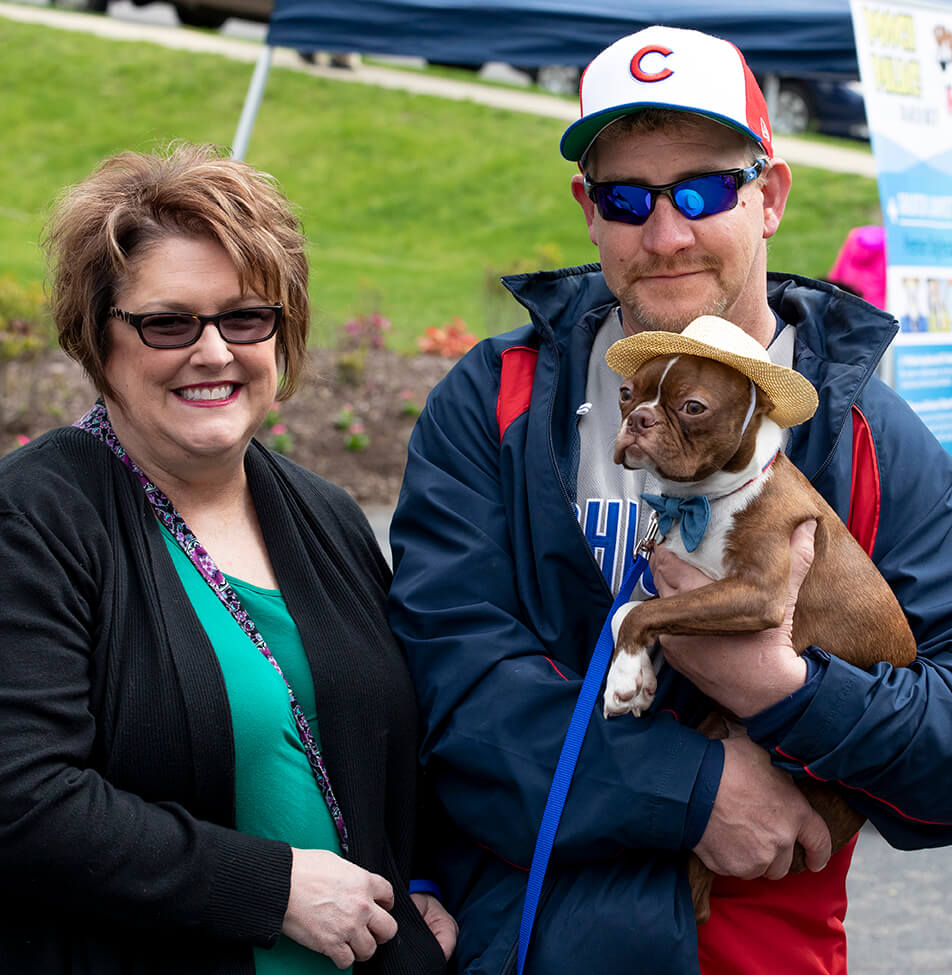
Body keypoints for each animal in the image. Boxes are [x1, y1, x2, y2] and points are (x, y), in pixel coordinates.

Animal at [600, 318, 920, 924]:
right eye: (626, 394)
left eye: (693, 407)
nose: (637, 419)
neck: (705, 500)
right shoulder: (683, 585)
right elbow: (631, 610)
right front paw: (637, 677)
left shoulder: (756, 594)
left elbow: (644, 612)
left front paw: (625, 680)